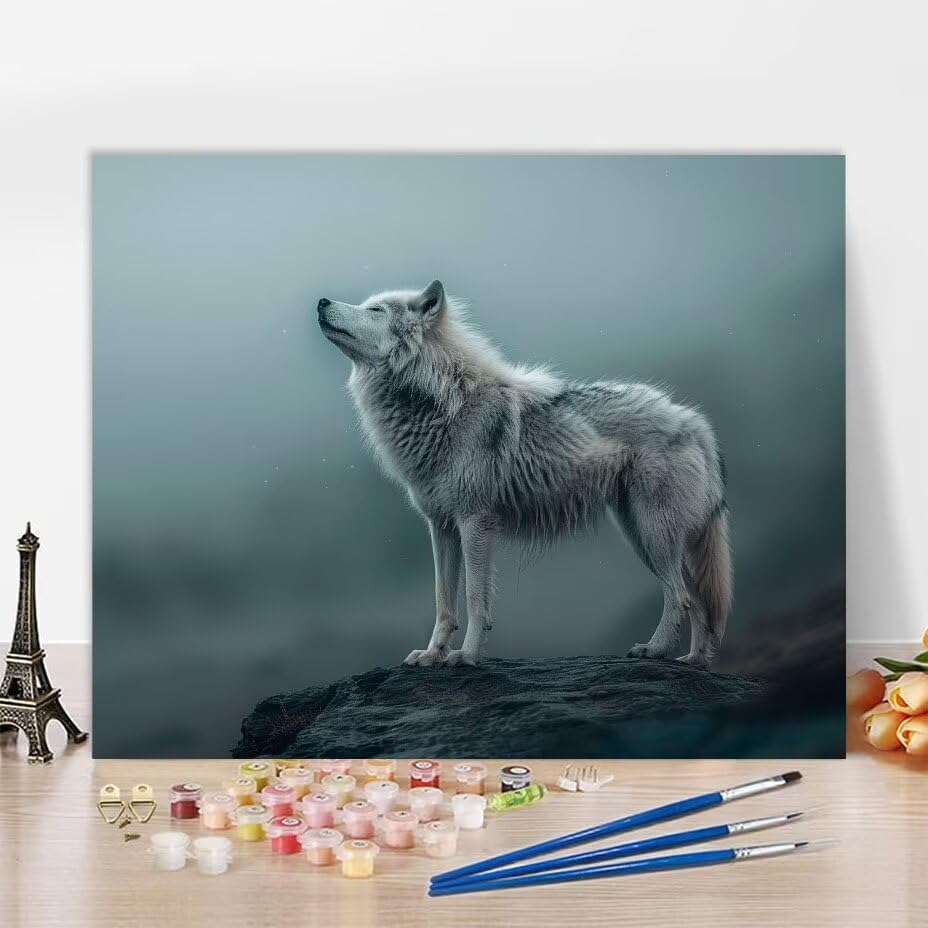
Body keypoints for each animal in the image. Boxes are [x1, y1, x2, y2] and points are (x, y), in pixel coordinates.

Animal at [317, 280, 732, 669]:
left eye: (375, 310)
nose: (321, 302)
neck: (439, 401)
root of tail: (694, 421)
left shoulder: (475, 522)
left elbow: (475, 599)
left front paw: (466, 656)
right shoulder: (441, 526)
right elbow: (443, 603)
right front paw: (433, 655)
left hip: (652, 533)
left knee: (680, 596)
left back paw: (655, 650)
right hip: (640, 535)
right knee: (699, 598)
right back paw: (695, 661)